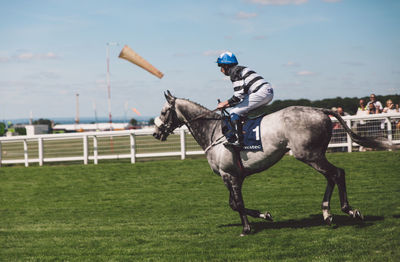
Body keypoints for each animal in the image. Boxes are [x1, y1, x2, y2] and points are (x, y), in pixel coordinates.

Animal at [152, 90, 396, 235]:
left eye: (164, 112)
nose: (155, 133)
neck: (214, 132)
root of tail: (320, 110)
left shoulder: (229, 175)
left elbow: (237, 203)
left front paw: (247, 228)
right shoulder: (234, 176)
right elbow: (234, 204)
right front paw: (264, 215)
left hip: (309, 155)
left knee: (337, 174)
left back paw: (349, 210)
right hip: (315, 155)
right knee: (332, 176)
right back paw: (327, 213)